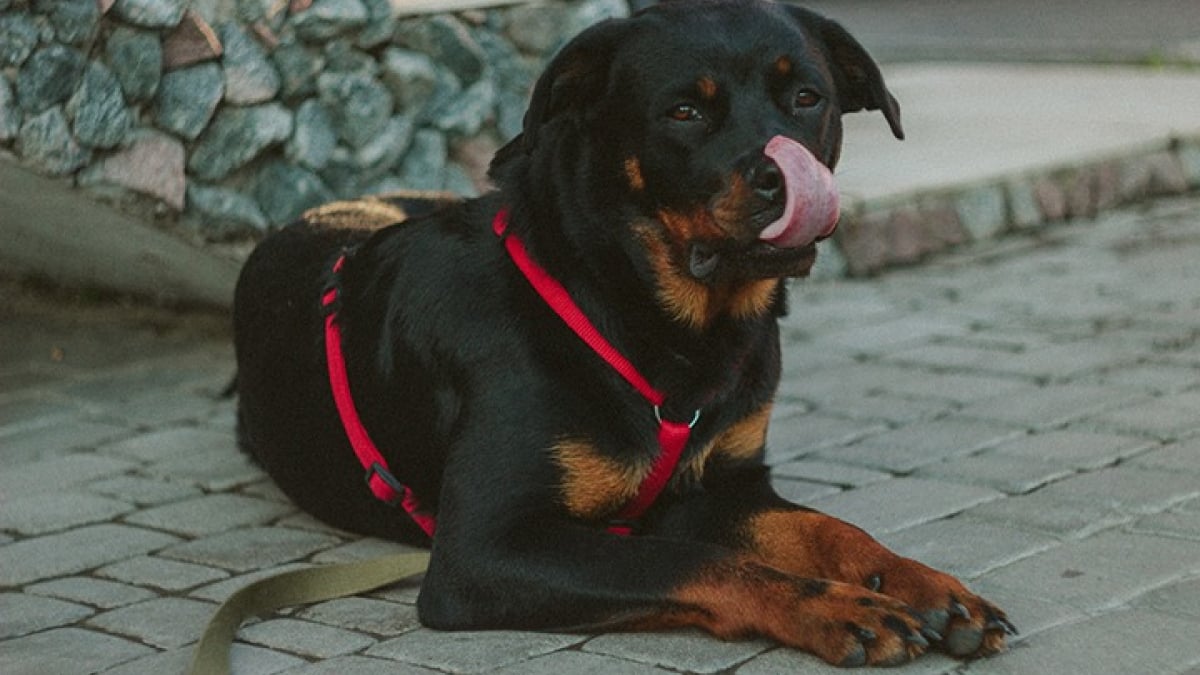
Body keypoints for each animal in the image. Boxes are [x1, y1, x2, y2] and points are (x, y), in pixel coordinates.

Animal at [231, 0, 1012, 662]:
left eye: (807, 99)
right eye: (684, 111)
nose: (779, 178)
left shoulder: (726, 485)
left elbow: (829, 527)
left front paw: (924, 583)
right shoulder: (483, 549)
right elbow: (697, 560)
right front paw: (835, 606)